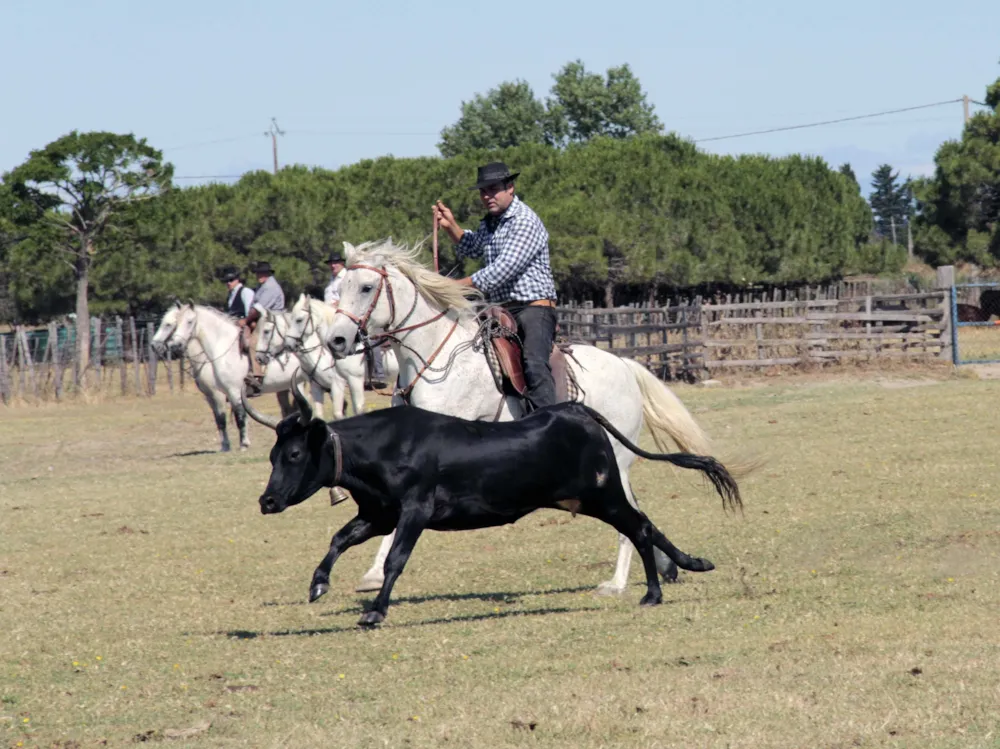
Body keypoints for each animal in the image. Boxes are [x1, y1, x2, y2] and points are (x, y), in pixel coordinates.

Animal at [152, 302, 326, 450]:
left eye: (171, 324)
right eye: (175, 323)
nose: (155, 345)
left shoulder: (230, 392)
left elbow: (238, 417)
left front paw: (243, 444)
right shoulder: (210, 396)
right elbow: (219, 420)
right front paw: (225, 445)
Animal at [243, 386, 744, 624]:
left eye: (293, 454)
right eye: (271, 456)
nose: (267, 500)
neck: (383, 446)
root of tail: (575, 410)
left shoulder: (414, 512)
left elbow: (395, 561)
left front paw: (375, 612)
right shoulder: (377, 514)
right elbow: (339, 538)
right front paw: (318, 584)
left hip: (603, 494)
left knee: (639, 527)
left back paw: (655, 591)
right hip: (593, 498)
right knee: (646, 526)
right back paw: (688, 566)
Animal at [262, 240, 748, 596]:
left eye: (365, 287)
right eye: (337, 290)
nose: (338, 341)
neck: (437, 357)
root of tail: (627, 366)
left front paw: (376, 573)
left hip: (616, 464)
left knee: (630, 514)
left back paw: (619, 582)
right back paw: (666, 567)